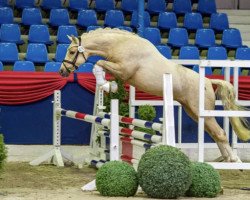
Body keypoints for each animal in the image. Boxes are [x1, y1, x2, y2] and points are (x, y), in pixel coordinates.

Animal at [59, 28, 250, 162]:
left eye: (71, 52)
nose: (62, 71)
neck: (121, 45)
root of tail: (209, 82)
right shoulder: (118, 70)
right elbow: (100, 67)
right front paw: (108, 85)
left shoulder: (123, 70)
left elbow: (98, 63)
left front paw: (107, 85)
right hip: (193, 112)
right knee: (215, 134)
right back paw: (228, 159)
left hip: (201, 111)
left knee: (220, 133)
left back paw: (233, 160)